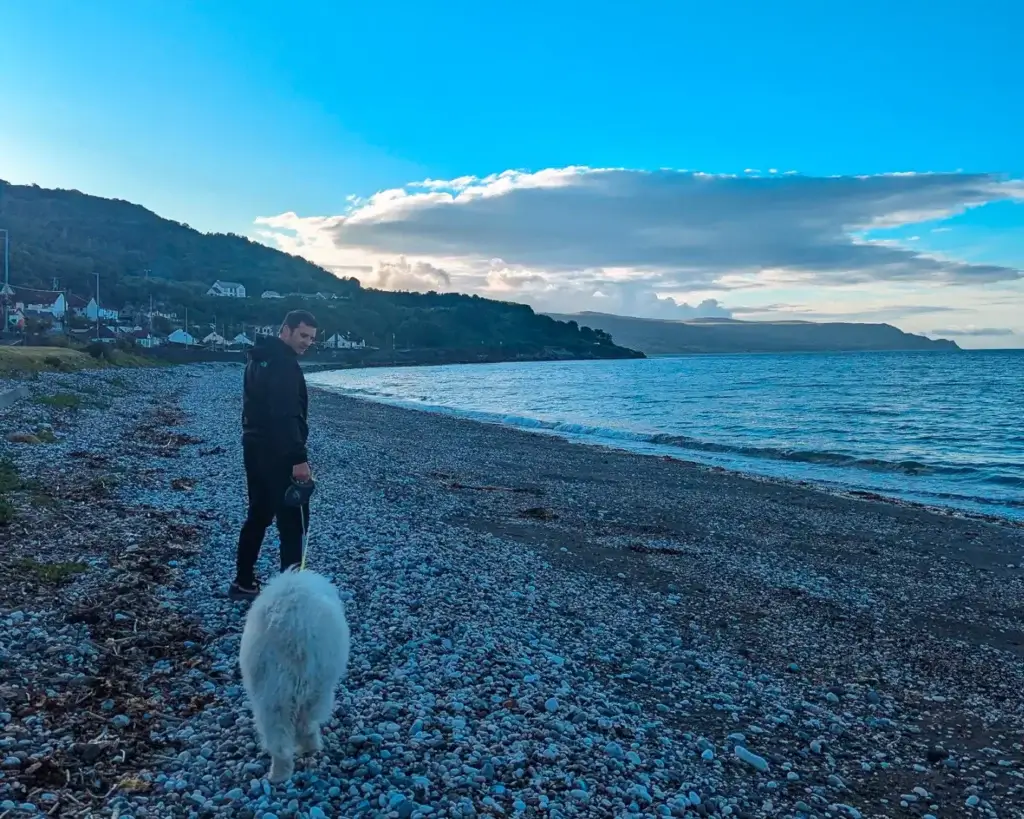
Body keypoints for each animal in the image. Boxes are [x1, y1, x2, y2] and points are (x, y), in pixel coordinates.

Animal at [239, 565, 352, 782]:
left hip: (271, 697)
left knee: (280, 739)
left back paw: (279, 774)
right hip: (317, 690)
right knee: (306, 725)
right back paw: (309, 749)